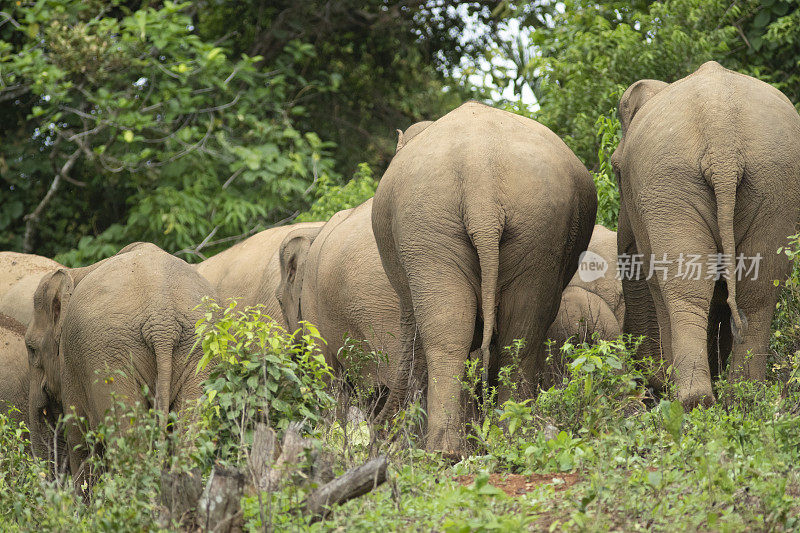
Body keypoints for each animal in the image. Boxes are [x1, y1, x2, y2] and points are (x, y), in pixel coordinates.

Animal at [26, 241, 217, 478]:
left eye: (31, 349)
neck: (76, 272)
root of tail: (162, 322)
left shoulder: (71, 365)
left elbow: (80, 439)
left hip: (110, 355)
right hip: (198, 348)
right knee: (190, 434)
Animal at [372, 101, 596, 454]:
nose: (377, 436)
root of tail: (481, 177)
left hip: (431, 226)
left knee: (455, 331)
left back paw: (447, 451)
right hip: (524, 227)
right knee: (517, 332)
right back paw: (501, 441)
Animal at [608, 60, 800, 406]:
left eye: (616, 171)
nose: (649, 387)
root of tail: (721, 129)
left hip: (672, 182)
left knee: (685, 288)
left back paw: (692, 401)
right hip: (775, 182)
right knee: (758, 291)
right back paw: (742, 399)